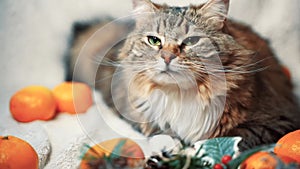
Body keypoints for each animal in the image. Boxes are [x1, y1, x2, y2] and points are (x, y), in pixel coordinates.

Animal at [69, 0, 300, 150]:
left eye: (191, 41)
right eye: (154, 41)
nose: (167, 56)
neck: (181, 95)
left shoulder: (277, 120)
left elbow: (228, 138)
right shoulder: (145, 118)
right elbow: (162, 136)